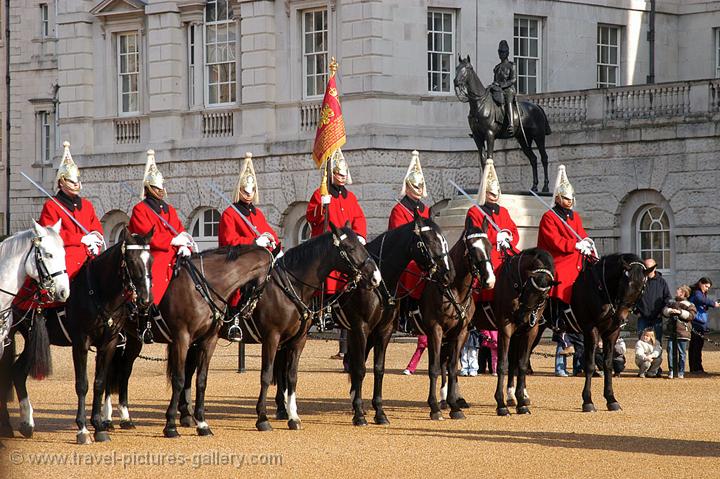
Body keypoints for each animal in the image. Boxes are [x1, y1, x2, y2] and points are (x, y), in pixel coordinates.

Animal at [420, 219, 492, 422]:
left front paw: (454, 405)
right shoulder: (435, 331)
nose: (490, 280)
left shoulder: (460, 333)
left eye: (490, 247)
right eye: (473, 249)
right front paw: (434, 407)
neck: (454, 288)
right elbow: (434, 368)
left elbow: (452, 367)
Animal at [456, 54, 552, 191]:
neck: (480, 104)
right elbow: (483, 159)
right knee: (533, 158)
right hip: (523, 139)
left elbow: (490, 158)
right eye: (457, 68)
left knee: (544, 158)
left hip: (538, 137)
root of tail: (537, 107)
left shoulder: (490, 135)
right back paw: (534, 186)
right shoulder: (477, 137)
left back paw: (545, 187)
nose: (455, 82)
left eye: (468, 68)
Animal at [572, 253, 648, 414]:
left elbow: (608, 364)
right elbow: (590, 365)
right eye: (623, 285)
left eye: (640, 289)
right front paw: (587, 401)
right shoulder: (590, 329)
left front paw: (611, 399)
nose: (621, 318)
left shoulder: (612, 332)